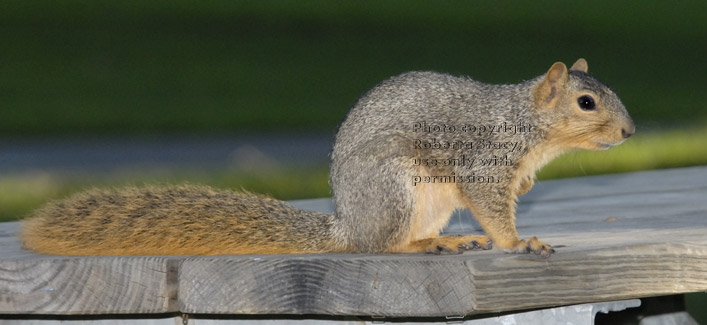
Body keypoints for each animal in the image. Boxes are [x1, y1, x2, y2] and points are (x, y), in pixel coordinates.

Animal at [20, 58, 636, 256]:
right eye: (586, 102)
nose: (631, 132)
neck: (529, 126)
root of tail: (348, 224)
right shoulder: (486, 158)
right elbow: (491, 205)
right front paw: (518, 243)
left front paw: (526, 195)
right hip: (395, 185)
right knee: (382, 247)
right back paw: (429, 244)